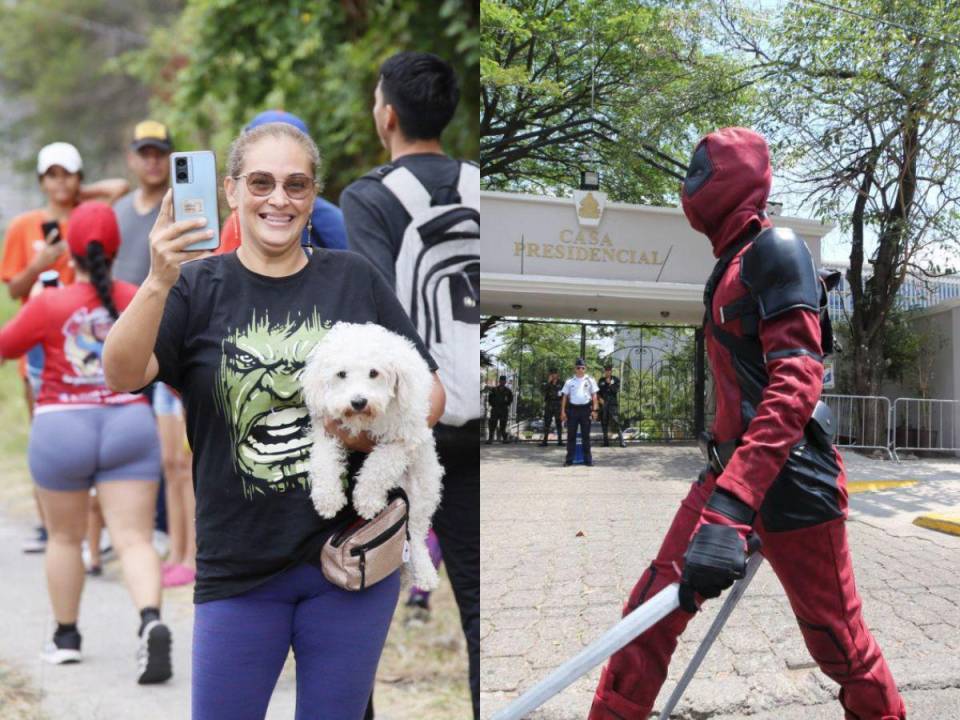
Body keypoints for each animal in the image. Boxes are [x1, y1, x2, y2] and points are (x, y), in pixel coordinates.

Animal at [302, 322, 444, 592]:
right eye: (341, 374)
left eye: (374, 373)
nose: (358, 401)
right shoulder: (328, 431)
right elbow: (323, 461)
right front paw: (328, 499)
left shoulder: (405, 438)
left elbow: (380, 464)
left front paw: (367, 500)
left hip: (423, 490)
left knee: (416, 535)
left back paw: (425, 573)